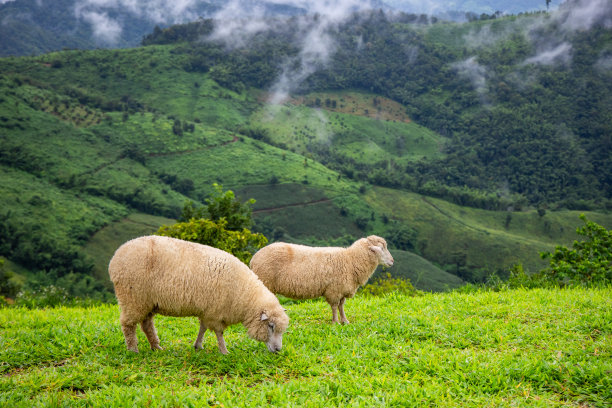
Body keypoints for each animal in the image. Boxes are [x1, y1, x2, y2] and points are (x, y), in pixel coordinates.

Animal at [108, 236, 290, 354]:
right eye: (271, 326)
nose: (278, 350)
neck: (244, 294)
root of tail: (116, 256)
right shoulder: (215, 312)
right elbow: (218, 333)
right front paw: (224, 351)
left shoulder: (207, 310)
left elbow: (202, 328)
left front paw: (198, 346)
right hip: (132, 298)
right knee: (128, 325)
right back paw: (133, 349)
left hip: (148, 302)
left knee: (146, 325)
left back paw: (156, 347)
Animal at [251, 236, 394, 326]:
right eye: (382, 248)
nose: (392, 261)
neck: (351, 260)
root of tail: (254, 258)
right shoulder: (334, 290)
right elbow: (335, 307)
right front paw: (335, 322)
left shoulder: (342, 289)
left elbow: (342, 306)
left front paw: (345, 321)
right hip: (265, 281)